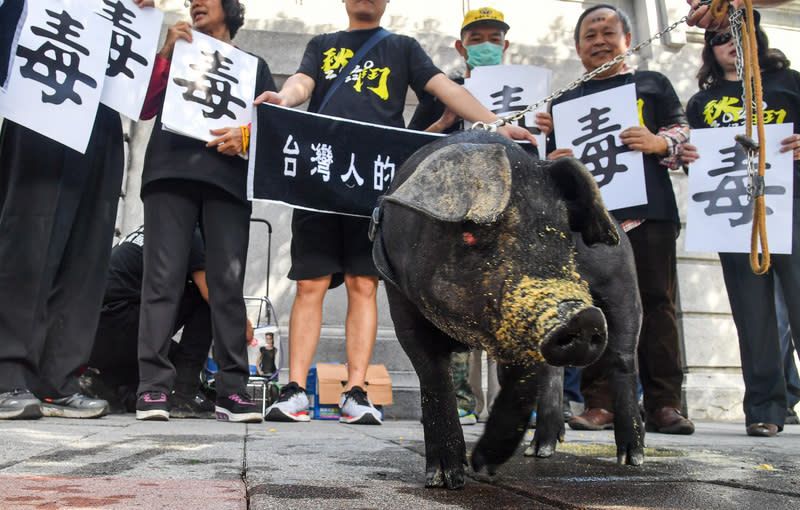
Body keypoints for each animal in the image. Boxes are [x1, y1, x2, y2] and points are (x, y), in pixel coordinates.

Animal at [372, 129, 648, 488]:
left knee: (624, 360)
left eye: (563, 235)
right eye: (475, 233)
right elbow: (434, 379)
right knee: (554, 375)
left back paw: (632, 459)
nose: (582, 316)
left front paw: (483, 464)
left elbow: (519, 385)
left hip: (624, 286)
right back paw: (540, 450)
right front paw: (445, 479)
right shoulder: (400, 305)